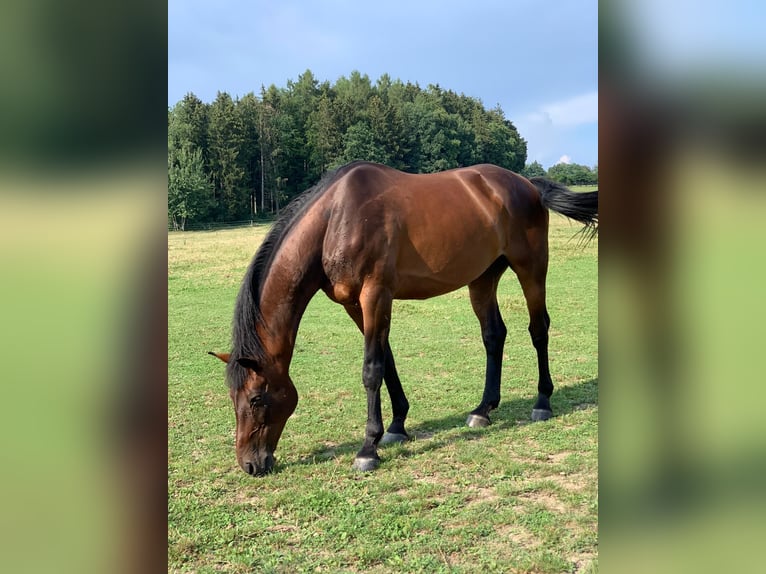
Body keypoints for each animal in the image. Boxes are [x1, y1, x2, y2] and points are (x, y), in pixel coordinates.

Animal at [210, 161, 600, 476]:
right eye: (233, 397)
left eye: (256, 399)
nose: (250, 464)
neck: (336, 218)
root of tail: (526, 184)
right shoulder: (356, 304)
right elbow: (388, 361)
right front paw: (397, 426)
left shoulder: (375, 294)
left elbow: (372, 369)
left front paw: (368, 449)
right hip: (482, 278)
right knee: (494, 335)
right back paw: (483, 410)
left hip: (531, 268)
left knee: (538, 329)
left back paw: (542, 402)